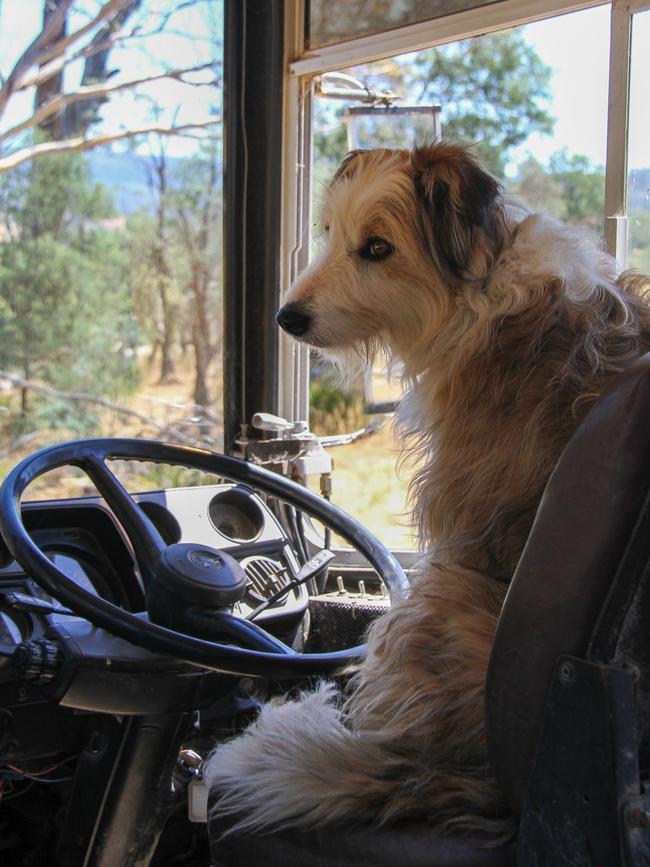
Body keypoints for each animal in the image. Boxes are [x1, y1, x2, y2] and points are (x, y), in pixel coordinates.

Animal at [205, 142, 648, 840]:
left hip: (433, 601)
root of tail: (490, 786)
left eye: (377, 247)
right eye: (329, 232)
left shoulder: (459, 527)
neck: (483, 292)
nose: (286, 317)